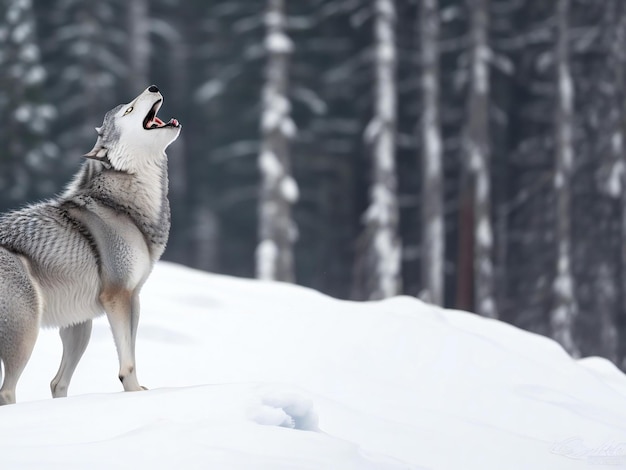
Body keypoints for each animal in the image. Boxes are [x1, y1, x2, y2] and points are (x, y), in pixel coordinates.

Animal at [0, 85, 180, 404]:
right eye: (128, 110)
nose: (153, 87)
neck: (124, 205)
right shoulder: (117, 296)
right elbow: (127, 363)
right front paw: (134, 396)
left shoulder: (133, 297)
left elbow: (132, 353)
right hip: (28, 333)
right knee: (7, 392)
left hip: (79, 328)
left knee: (57, 383)